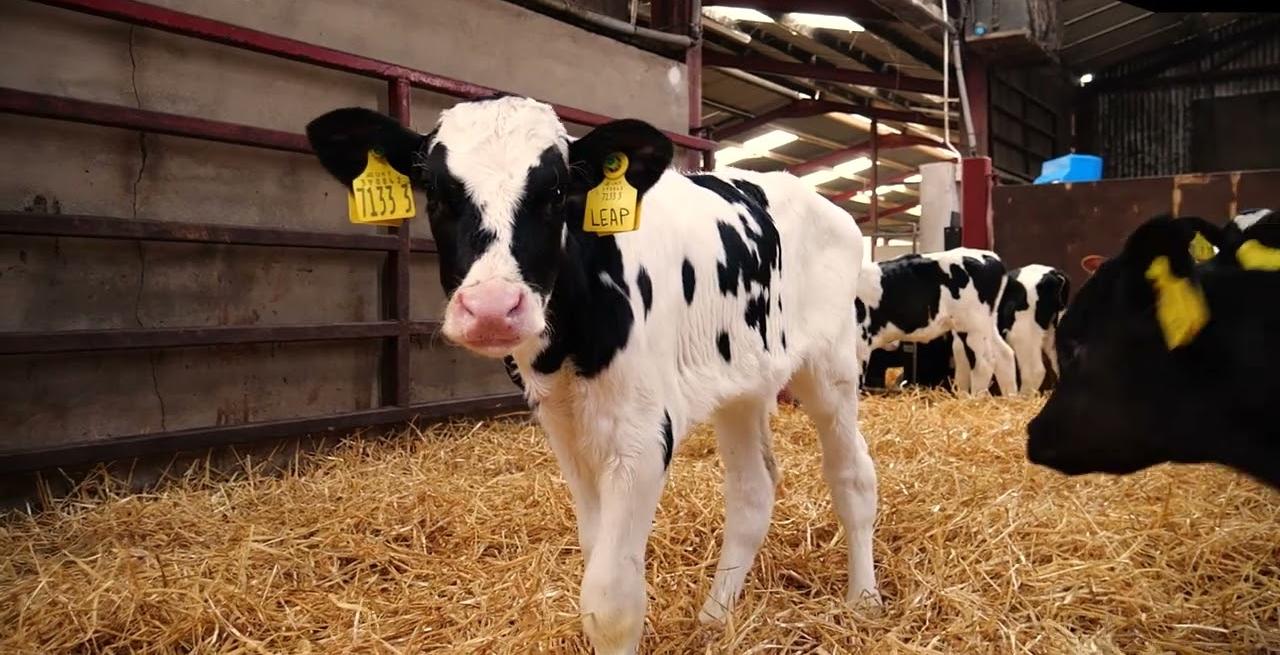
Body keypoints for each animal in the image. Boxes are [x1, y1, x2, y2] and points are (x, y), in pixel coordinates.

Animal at [305, 95, 880, 654]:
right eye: (437, 191)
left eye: (557, 191)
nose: (492, 308)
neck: (567, 349)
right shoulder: (564, 427)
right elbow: (595, 554)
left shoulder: (644, 435)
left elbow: (611, 601)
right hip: (741, 380)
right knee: (751, 490)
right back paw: (715, 620)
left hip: (831, 367)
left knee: (852, 476)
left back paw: (863, 601)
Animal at [855, 248, 1018, 396]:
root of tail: (991, 257)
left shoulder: (860, 343)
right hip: (986, 325)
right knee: (1004, 354)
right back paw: (1009, 398)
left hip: (972, 326)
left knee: (984, 363)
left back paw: (975, 400)